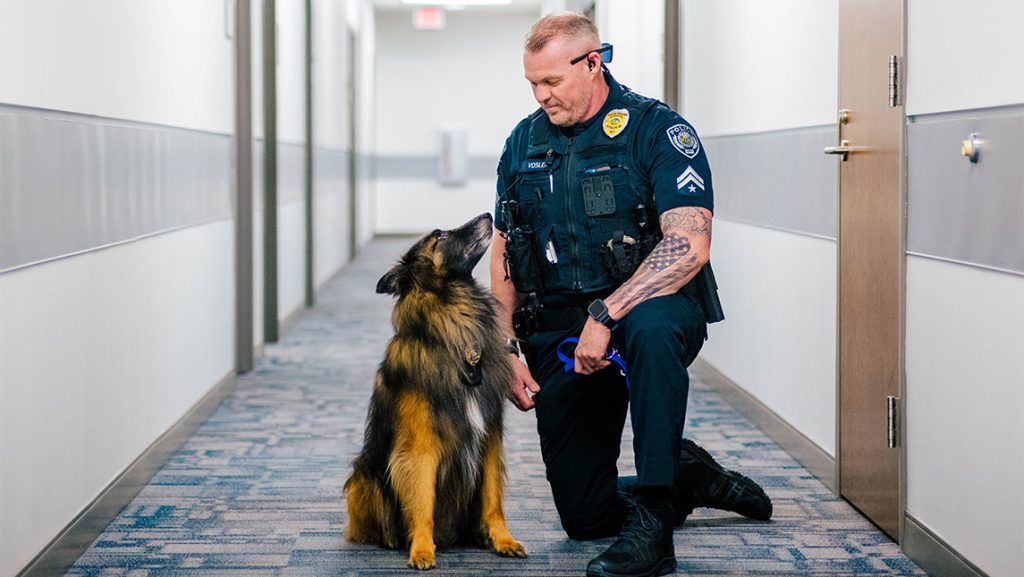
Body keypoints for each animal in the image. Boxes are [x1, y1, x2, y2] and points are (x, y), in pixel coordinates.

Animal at [346, 214, 528, 569]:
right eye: (440, 235)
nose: (489, 215)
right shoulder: (420, 449)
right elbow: (423, 502)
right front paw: (421, 550)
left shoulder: (489, 438)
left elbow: (493, 499)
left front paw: (503, 540)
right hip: (363, 476)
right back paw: (392, 539)